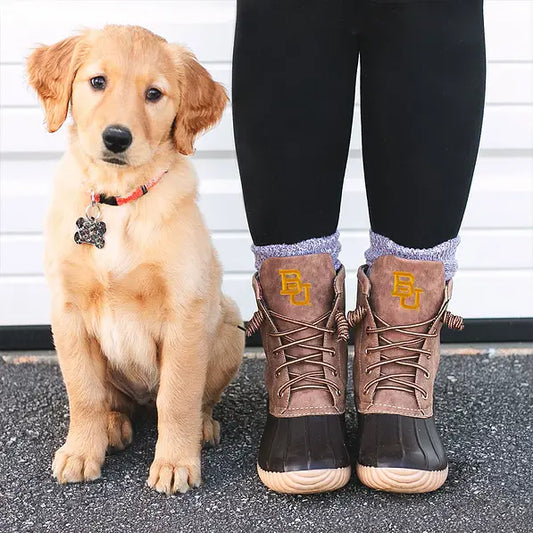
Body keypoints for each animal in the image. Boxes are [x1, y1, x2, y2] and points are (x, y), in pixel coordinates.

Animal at [28, 23, 244, 490]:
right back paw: (112, 426)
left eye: (154, 94)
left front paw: (176, 462)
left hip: (230, 324)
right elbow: (84, 394)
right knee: (114, 402)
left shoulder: (185, 311)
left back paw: (202, 428)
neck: (118, 199)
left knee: (193, 400)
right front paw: (80, 452)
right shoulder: (68, 312)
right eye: (97, 82)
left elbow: (178, 397)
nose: (116, 137)